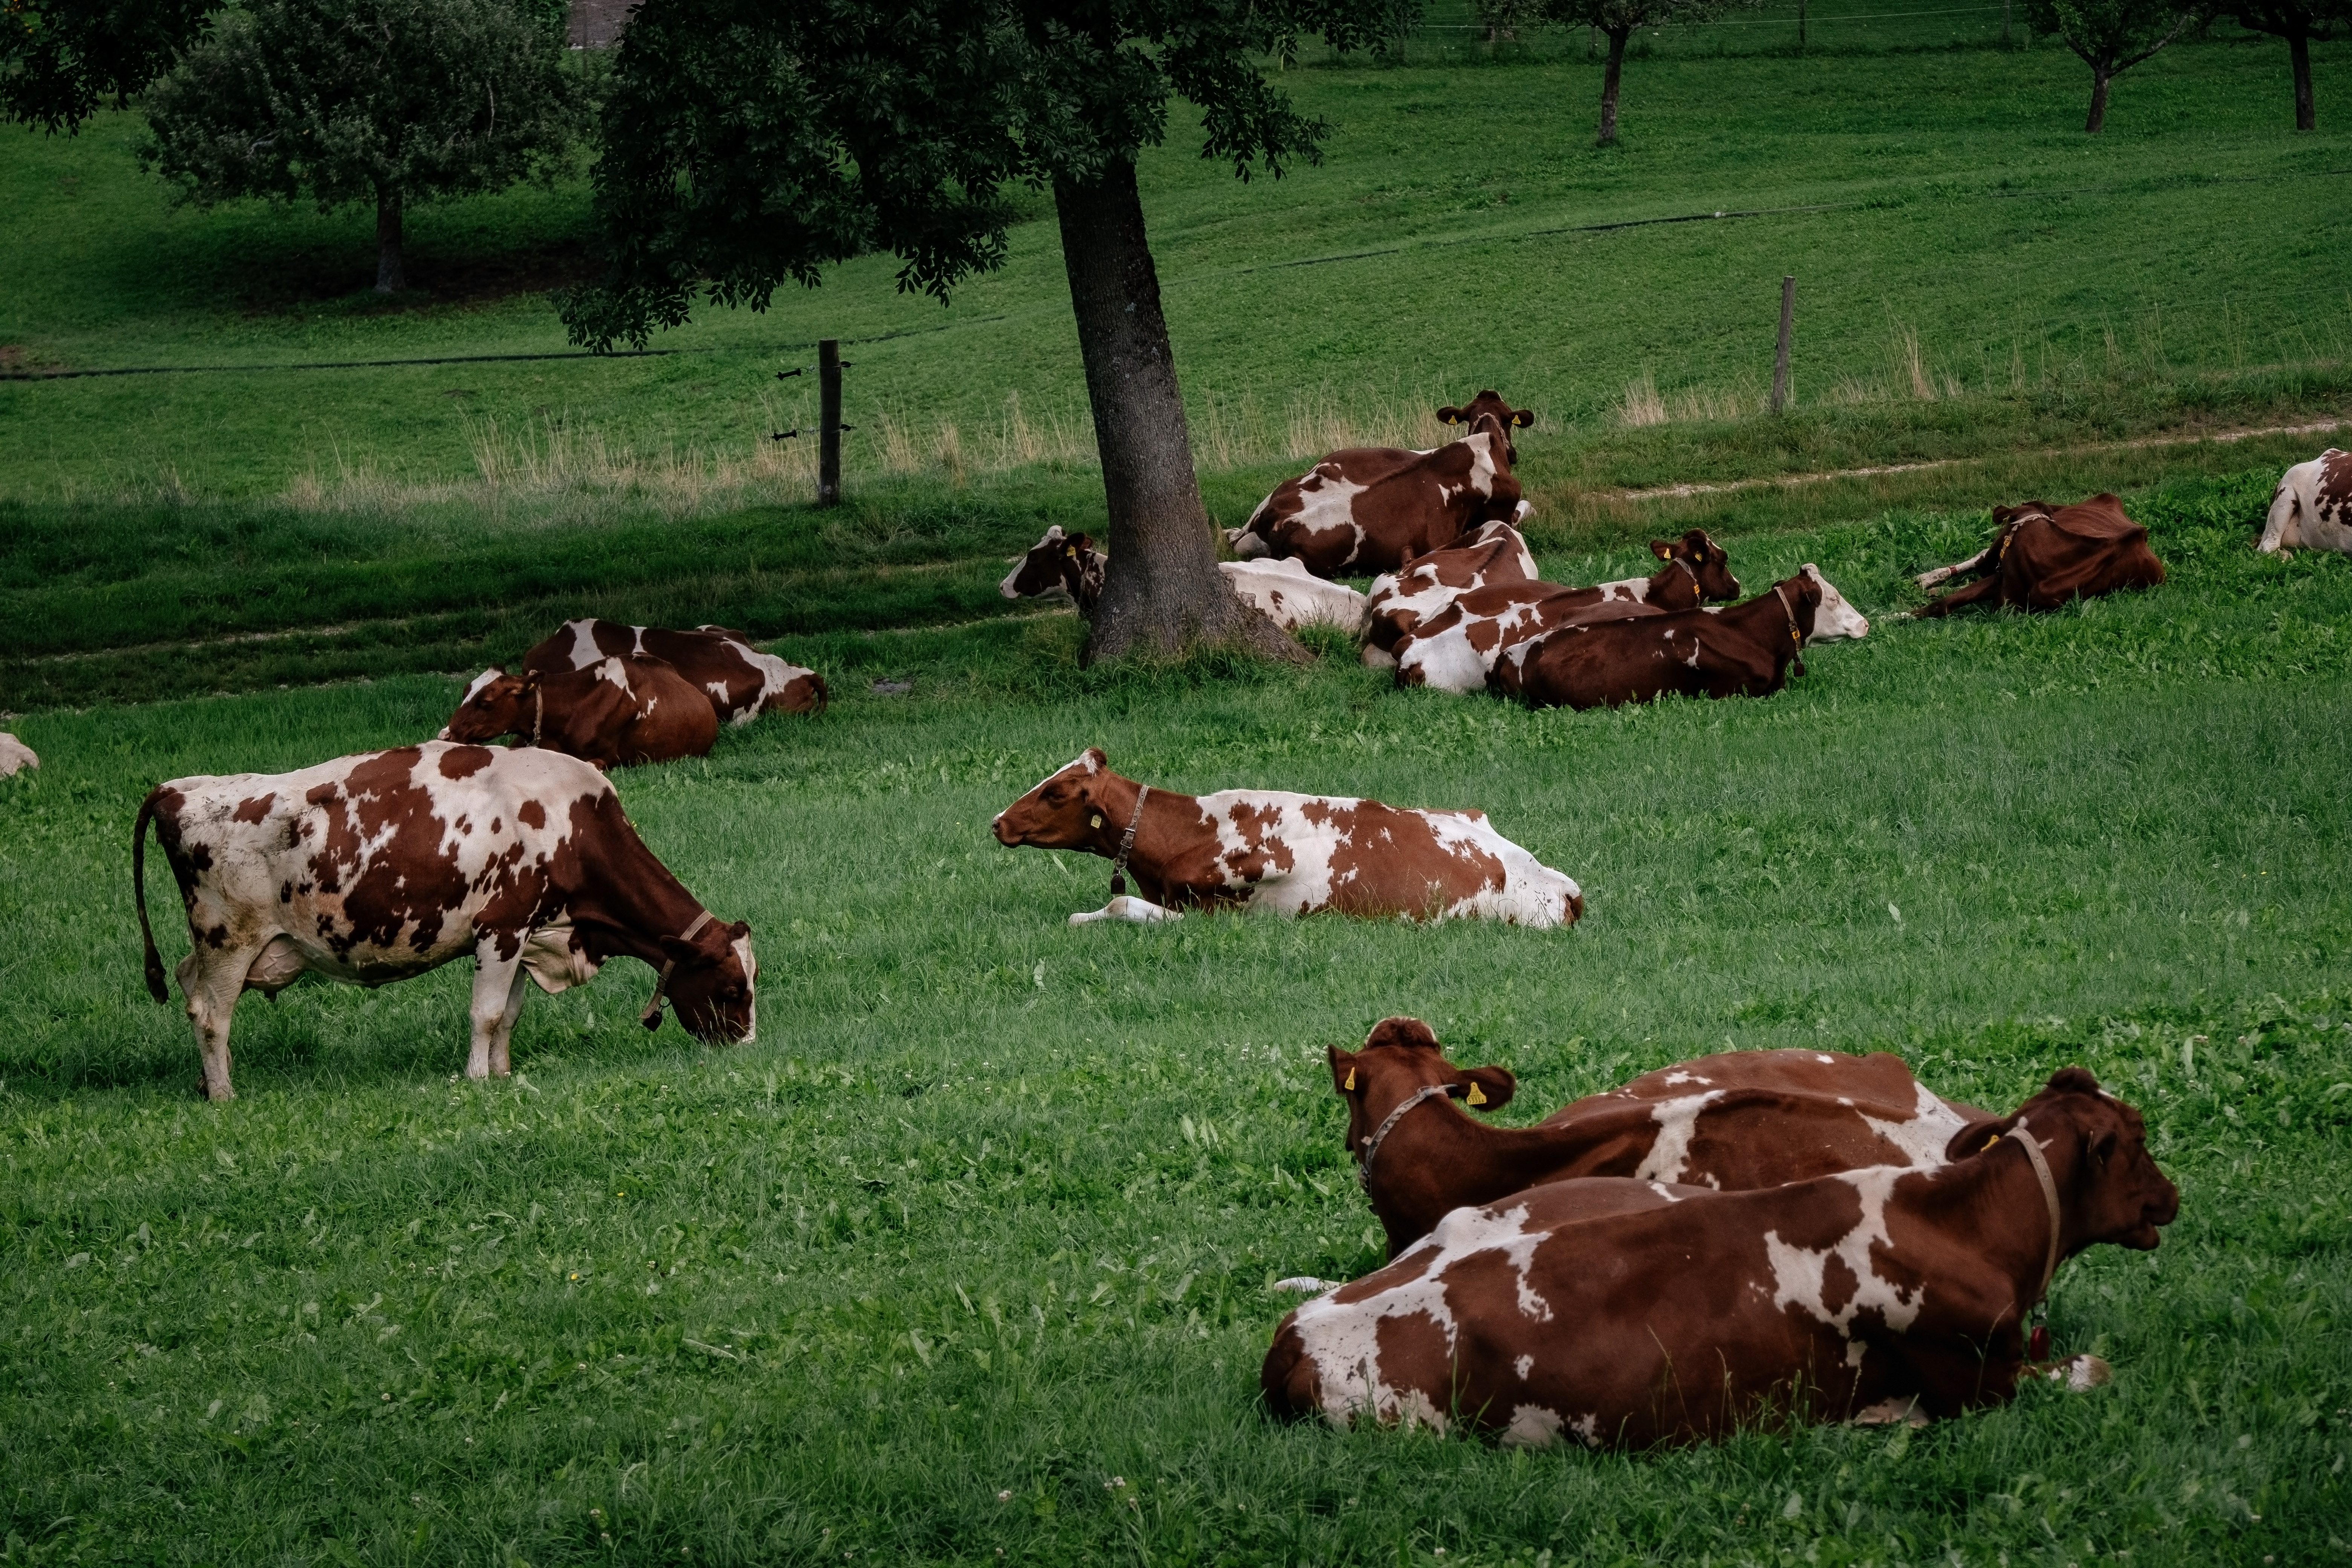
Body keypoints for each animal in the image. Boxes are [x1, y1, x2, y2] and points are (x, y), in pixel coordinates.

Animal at [131, 742, 756, 1101]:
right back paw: (223, 1093)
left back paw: (208, 1080)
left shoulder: (526, 934)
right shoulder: (500, 928)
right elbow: (486, 1015)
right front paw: (478, 1078)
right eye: (732, 990)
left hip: (228, 946)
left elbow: (508, 1016)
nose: (745, 1046)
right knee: (211, 1014)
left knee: (189, 982)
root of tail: (181, 788)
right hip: (230, 937)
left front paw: (502, 1073)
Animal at [1261, 1067, 2178, 1447]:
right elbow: (2094, 1369)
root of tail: (1291, 1339)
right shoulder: (1980, 1381)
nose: (2171, 1197)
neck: (1958, 1223)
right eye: (2136, 1137)